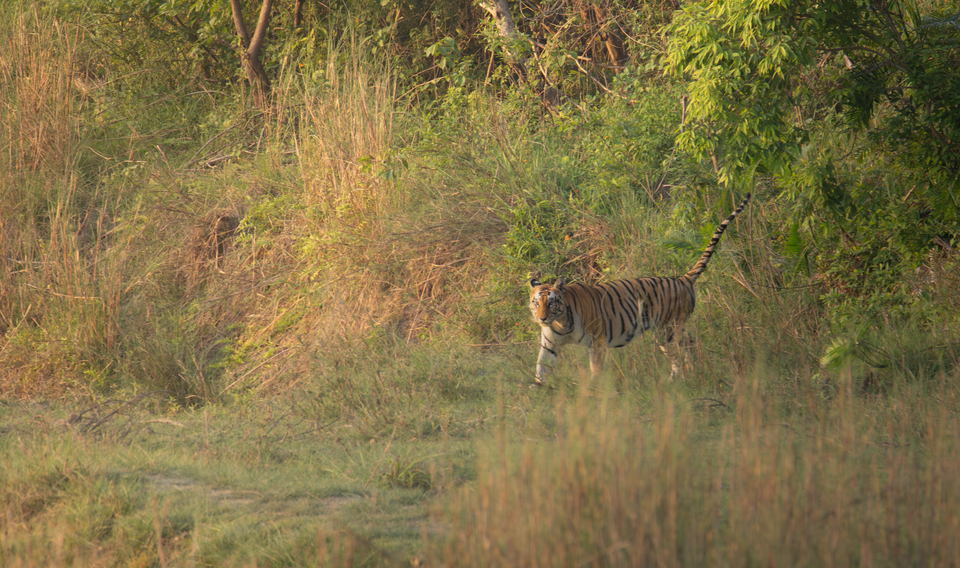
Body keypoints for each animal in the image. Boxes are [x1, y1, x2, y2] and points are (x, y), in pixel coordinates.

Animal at [527, 194, 751, 384]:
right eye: (536, 303)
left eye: (551, 302)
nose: (542, 318)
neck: (559, 322)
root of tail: (683, 279)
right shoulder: (549, 345)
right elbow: (541, 368)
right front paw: (538, 391)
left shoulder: (598, 342)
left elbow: (596, 369)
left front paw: (594, 390)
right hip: (664, 333)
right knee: (685, 348)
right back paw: (677, 378)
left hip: (669, 329)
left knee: (687, 347)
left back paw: (690, 373)